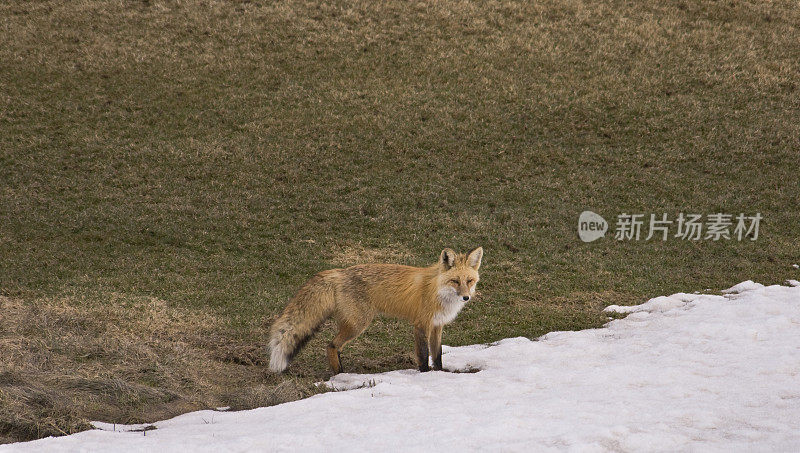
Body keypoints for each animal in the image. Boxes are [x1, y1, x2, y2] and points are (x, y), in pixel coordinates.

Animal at [268, 247, 482, 370]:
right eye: (455, 281)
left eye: (469, 281)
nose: (466, 297)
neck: (438, 292)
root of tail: (340, 272)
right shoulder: (421, 325)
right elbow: (423, 356)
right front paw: (425, 375)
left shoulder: (437, 326)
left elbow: (437, 356)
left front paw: (439, 374)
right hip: (358, 324)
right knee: (331, 346)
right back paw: (339, 374)